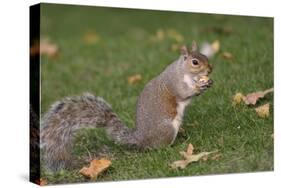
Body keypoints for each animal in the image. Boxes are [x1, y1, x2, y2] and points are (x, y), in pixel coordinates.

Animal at [40, 41, 212, 173]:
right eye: (195, 62)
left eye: (205, 56)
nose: (210, 69)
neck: (183, 71)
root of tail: (141, 139)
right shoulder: (175, 83)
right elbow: (184, 93)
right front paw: (199, 87)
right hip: (167, 129)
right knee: (158, 147)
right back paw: (175, 144)